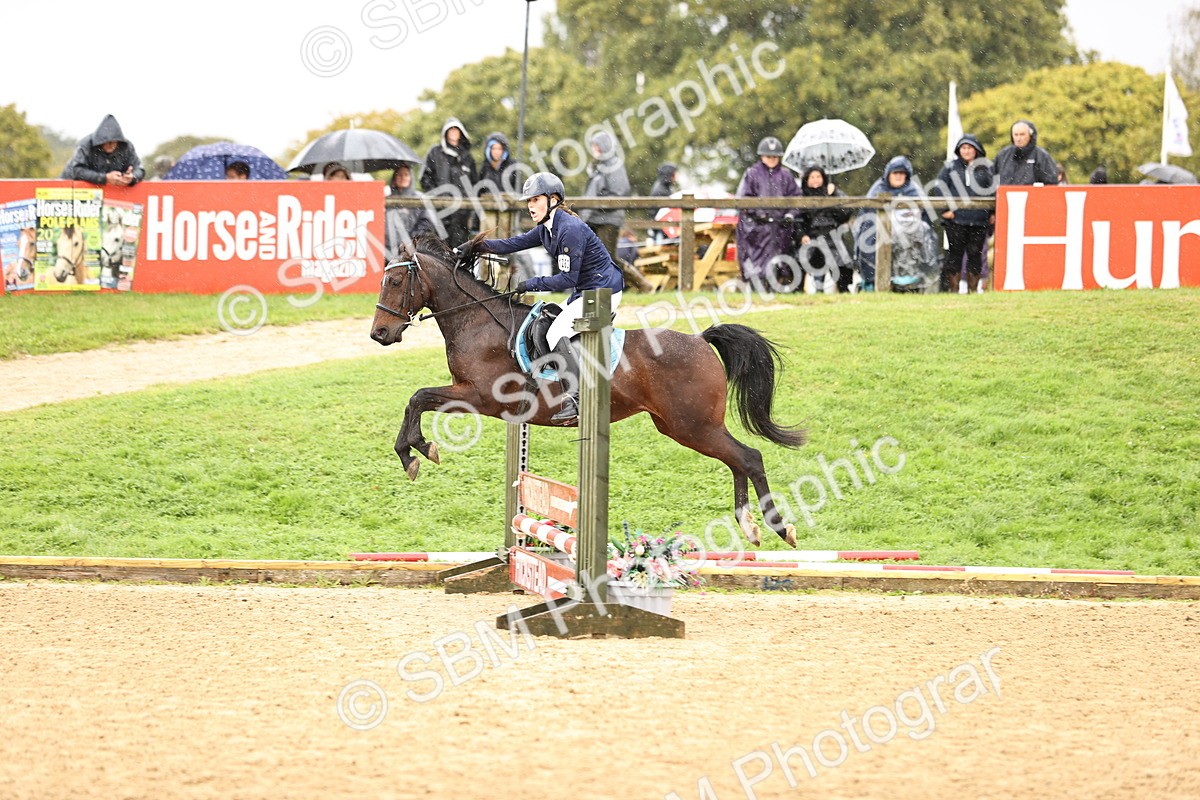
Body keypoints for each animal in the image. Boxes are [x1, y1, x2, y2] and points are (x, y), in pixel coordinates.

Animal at [369, 234, 806, 547]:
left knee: (749, 458)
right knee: (737, 461)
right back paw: (750, 527)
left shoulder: (480, 396)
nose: (379, 334)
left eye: (395, 280)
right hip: (681, 427)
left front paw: (417, 451)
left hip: (694, 425)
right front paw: (413, 452)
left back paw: (778, 527)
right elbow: (416, 399)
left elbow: (420, 397)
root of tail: (701, 341)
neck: (477, 321)